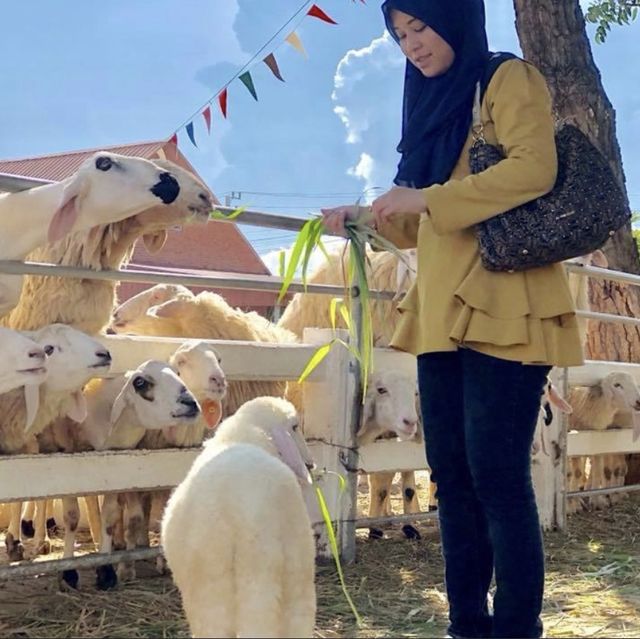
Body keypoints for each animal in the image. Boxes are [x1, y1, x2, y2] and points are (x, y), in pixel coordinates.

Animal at [568, 370, 636, 510]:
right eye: (617, 384)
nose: (638, 402)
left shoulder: (602, 439)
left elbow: (608, 470)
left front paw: (599, 499)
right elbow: (575, 472)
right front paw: (572, 506)